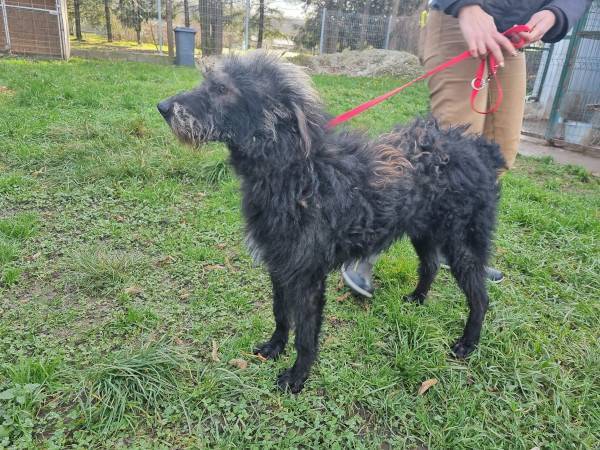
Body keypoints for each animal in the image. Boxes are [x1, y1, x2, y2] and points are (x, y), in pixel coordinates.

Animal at [157, 53, 505, 393]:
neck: (296, 171)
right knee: (430, 265)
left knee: (480, 297)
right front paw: (274, 347)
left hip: (462, 244)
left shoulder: (308, 276)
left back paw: (468, 343)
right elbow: (280, 314)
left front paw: (297, 376)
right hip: (424, 231)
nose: (162, 107)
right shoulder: (280, 265)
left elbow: (305, 335)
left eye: (221, 89)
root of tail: (478, 147)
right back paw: (417, 299)